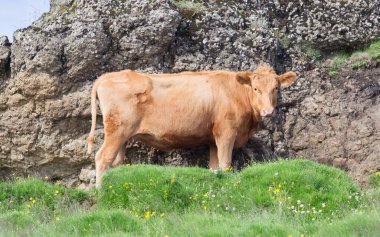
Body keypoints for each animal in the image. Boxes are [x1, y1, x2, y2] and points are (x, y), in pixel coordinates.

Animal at [87, 65, 296, 187]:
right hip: (117, 131)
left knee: (115, 162)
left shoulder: (212, 139)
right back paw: (100, 191)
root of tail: (106, 76)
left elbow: (214, 167)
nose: (268, 111)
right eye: (255, 88)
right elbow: (226, 164)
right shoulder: (226, 132)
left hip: (123, 135)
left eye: (276, 88)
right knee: (102, 158)